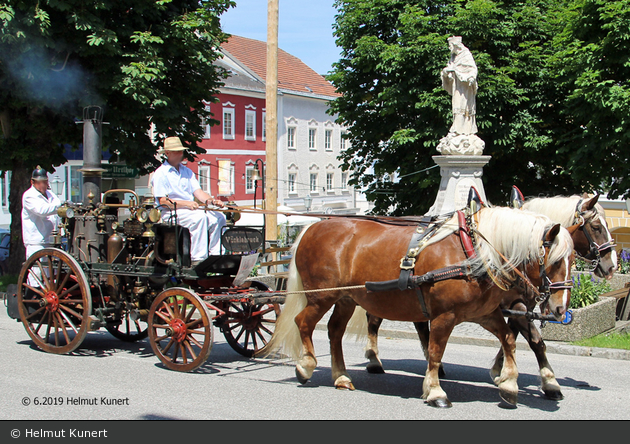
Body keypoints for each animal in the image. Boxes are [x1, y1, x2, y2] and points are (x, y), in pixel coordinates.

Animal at [268, 206, 576, 408]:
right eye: (554, 260)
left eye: (573, 258)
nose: (561, 310)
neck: (476, 252)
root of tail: (313, 226)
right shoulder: (444, 316)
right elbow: (436, 351)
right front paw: (436, 391)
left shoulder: (486, 314)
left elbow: (510, 340)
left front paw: (509, 384)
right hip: (321, 296)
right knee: (304, 323)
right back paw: (306, 365)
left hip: (346, 299)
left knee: (334, 332)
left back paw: (341, 376)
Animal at [362, 193, 616, 400]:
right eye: (596, 227)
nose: (612, 265)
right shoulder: (515, 304)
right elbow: (534, 340)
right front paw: (543, 380)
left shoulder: (513, 306)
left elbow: (518, 336)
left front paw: (503, 371)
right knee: (374, 320)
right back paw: (375, 360)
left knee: (421, 327)